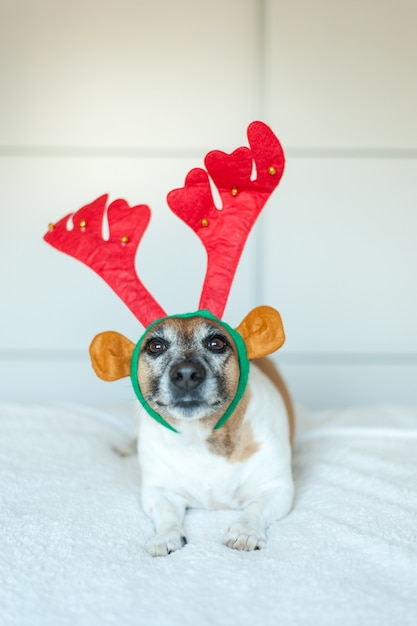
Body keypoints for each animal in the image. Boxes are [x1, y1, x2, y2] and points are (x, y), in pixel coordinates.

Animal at [89, 304, 294, 552]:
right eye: (155, 346)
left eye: (217, 342)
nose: (186, 374)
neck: (198, 435)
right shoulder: (158, 491)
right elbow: (167, 514)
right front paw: (165, 537)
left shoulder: (277, 489)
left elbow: (254, 509)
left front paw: (245, 532)